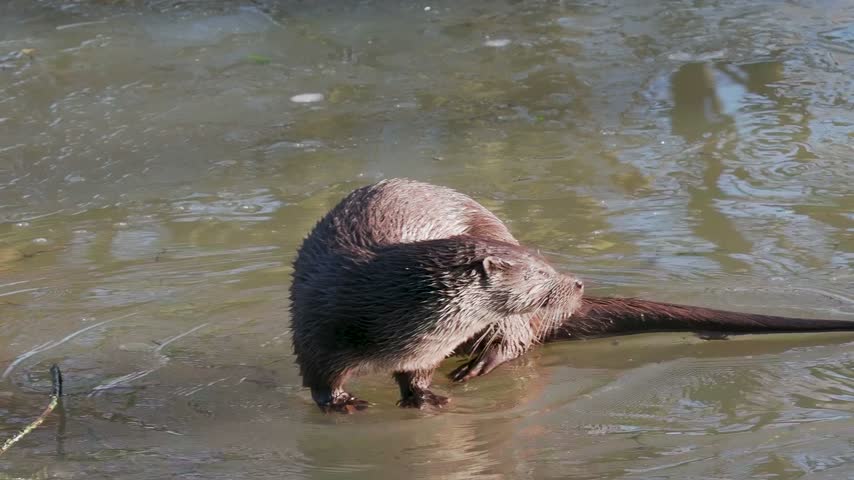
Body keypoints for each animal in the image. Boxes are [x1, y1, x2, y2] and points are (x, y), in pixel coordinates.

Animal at [290, 178, 853, 412]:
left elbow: (417, 376)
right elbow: (319, 375)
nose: (577, 283)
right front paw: (339, 403)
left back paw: (481, 363)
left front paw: (425, 396)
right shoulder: (315, 321)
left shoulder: (425, 349)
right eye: (540, 271)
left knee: (517, 337)